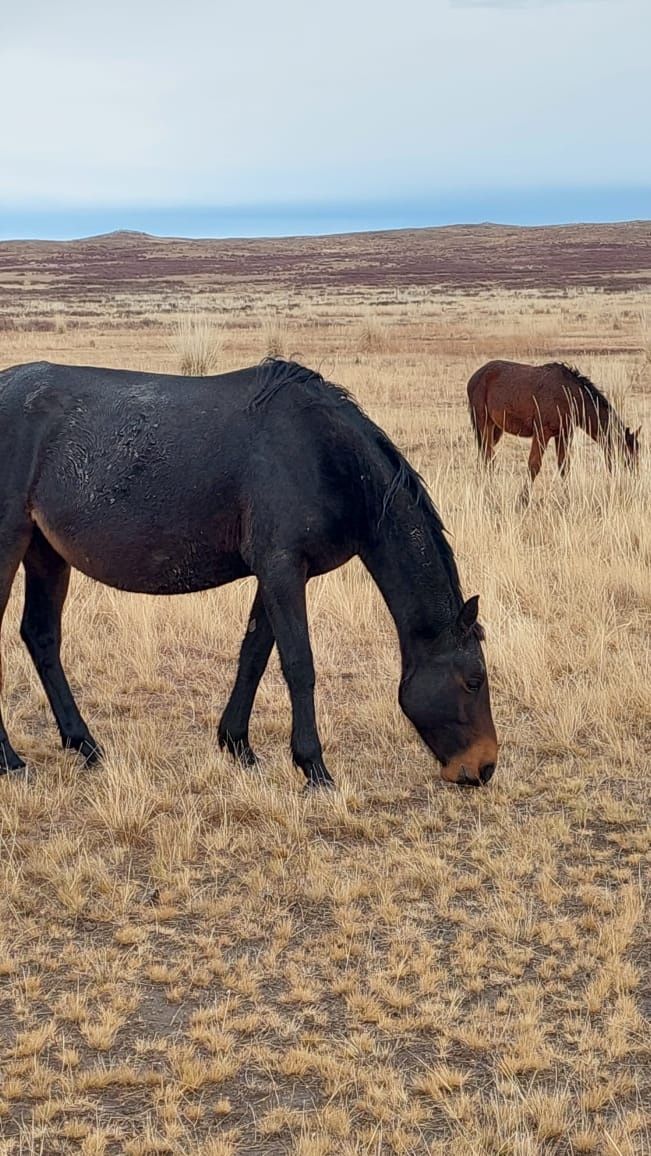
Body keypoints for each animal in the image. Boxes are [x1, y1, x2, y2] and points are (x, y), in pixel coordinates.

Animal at [0, 356, 499, 790]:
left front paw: (237, 745)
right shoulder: (282, 568)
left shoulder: (277, 573)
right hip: (10, 544)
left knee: (42, 636)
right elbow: (299, 665)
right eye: (473, 681)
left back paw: (84, 744)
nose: (484, 767)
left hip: (46, 553)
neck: (325, 455)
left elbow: (254, 654)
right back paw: (11, 760)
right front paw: (314, 768)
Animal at [469, 356, 642, 501]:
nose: (635, 480)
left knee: (485, 457)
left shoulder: (563, 435)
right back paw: (491, 492)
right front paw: (523, 500)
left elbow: (564, 466)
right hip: (484, 425)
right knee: (488, 458)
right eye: (627, 455)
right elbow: (534, 465)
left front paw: (567, 499)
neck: (569, 395)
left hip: (495, 430)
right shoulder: (542, 433)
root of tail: (475, 377)